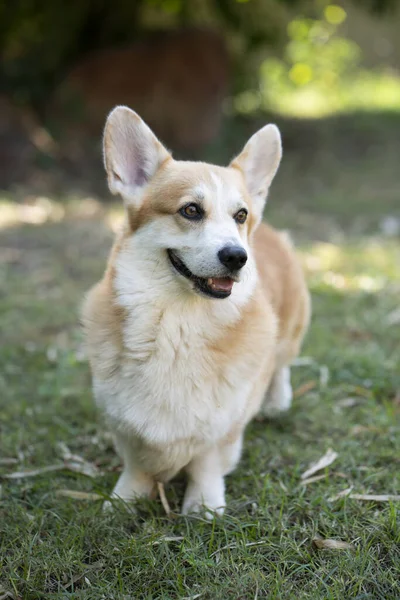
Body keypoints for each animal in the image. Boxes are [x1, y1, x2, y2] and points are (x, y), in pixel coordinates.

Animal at [81, 104, 310, 516]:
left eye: (240, 215)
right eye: (190, 210)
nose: (237, 256)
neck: (177, 323)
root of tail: (269, 230)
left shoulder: (223, 428)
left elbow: (206, 464)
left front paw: (203, 508)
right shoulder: (124, 423)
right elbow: (137, 465)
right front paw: (120, 503)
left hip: (293, 328)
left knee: (282, 364)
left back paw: (277, 402)